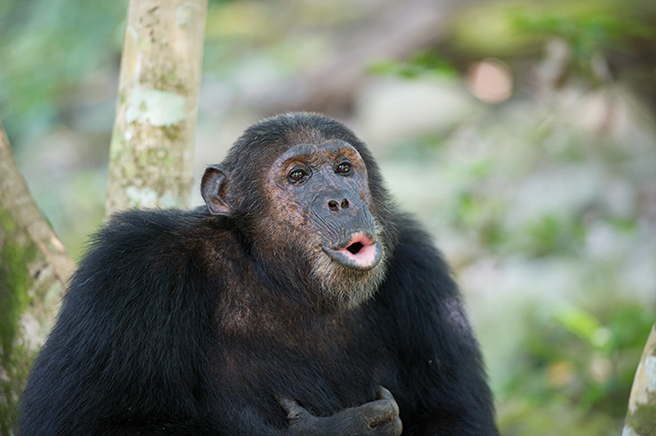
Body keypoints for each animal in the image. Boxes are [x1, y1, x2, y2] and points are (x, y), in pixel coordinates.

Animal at [19, 113, 498, 436]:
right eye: (298, 176)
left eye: (343, 169)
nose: (340, 200)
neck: (279, 275)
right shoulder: (130, 270)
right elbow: (83, 422)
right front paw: (333, 430)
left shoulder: (422, 273)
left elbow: (453, 416)